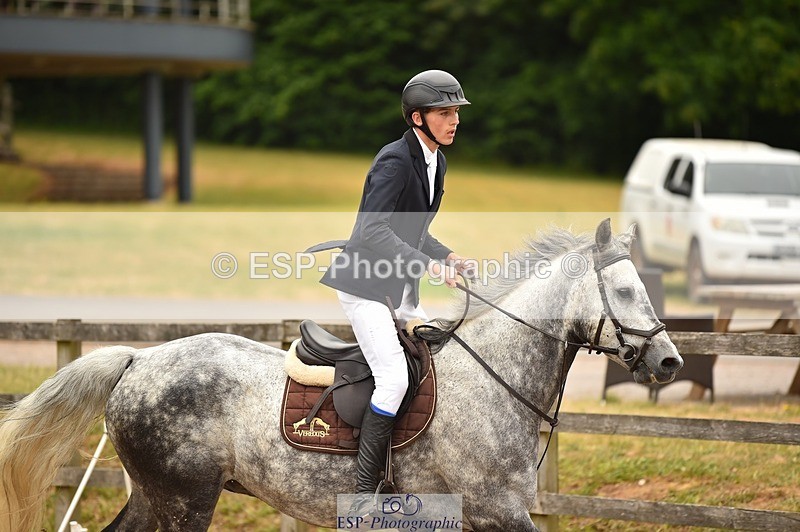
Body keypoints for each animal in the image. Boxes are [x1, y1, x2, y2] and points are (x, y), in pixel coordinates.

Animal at [0, 219, 683, 531]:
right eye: (627, 290)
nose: (670, 361)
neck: (497, 379)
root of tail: (141, 358)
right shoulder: (498, 512)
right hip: (183, 498)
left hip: (157, 494)